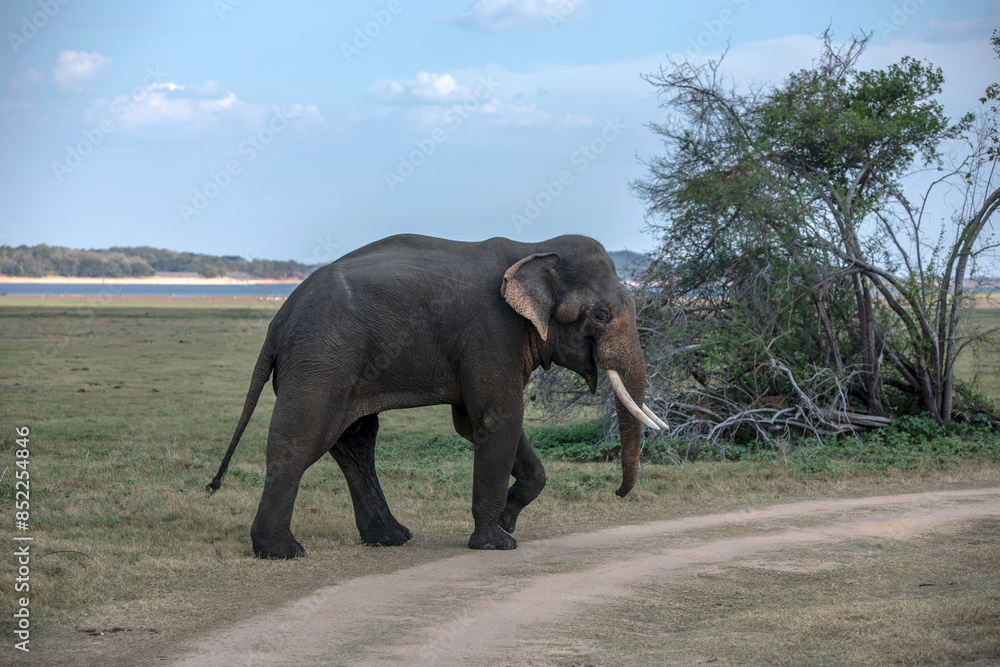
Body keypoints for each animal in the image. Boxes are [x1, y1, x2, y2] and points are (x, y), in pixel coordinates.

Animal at [206, 233, 667, 558]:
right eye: (602, 315)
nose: (618, 494)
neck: (534, 248)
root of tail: (278, 320)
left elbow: (476, 423)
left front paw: (508, 520)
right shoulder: (492, 332)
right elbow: (498, 418)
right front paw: (497, 543)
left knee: (355, 441)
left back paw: (391, 538)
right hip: (321, 358)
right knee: (302, 440)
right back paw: (282, 552)